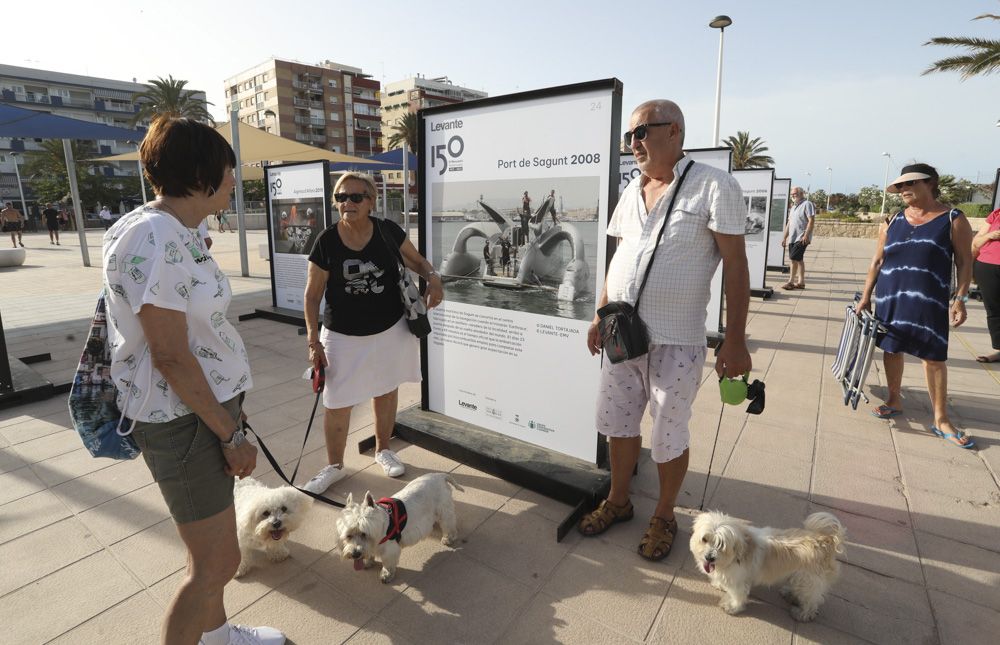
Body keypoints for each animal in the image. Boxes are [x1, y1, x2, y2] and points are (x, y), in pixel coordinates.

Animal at [334, 472, 462, 584]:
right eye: (348, 535)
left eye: (364, 534)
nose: (355, 554)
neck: (382, 525)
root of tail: (440, 476)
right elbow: (370, 554)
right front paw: (367, 562)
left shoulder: (390, 550)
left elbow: (388, 564)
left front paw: (386, 575)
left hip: (444, 509)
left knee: (449, 524)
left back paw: (448, 538)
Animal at [688, 508, 844, 620]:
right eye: (704, 539)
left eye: (721, 545)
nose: (709, 557)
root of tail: (826, 540)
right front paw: (719, 584)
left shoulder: (739, 583)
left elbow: (738, 596)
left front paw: (732, 607)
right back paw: (789, 593)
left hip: (809, 581)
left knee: (812, 601)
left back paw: (802, 614)